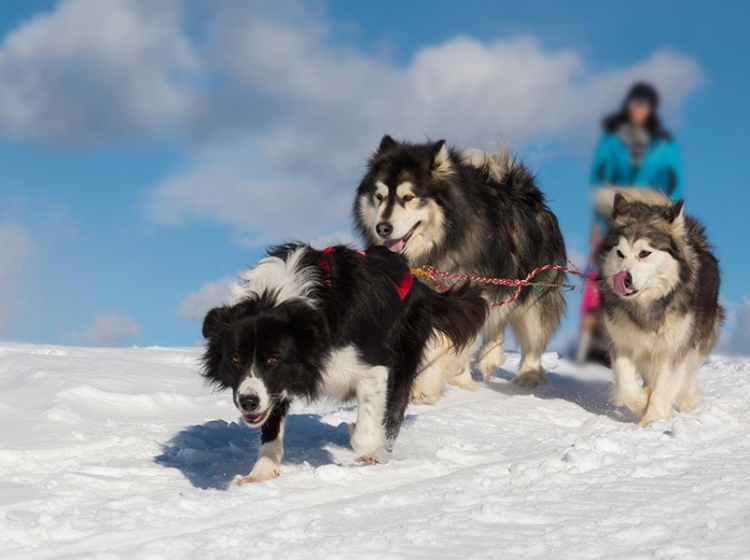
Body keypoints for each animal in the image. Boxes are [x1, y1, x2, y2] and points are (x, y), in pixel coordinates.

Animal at [201, 243, 488, 484]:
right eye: (235, 358)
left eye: (273, 358)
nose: (248, 402)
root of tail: (421, 285)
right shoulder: (283, 380)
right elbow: (271, 423)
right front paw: (260, 473)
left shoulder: (372, 366)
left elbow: (365, 434)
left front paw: (361, 435)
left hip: (405, 347)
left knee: (395, 408)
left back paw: (380, 451)